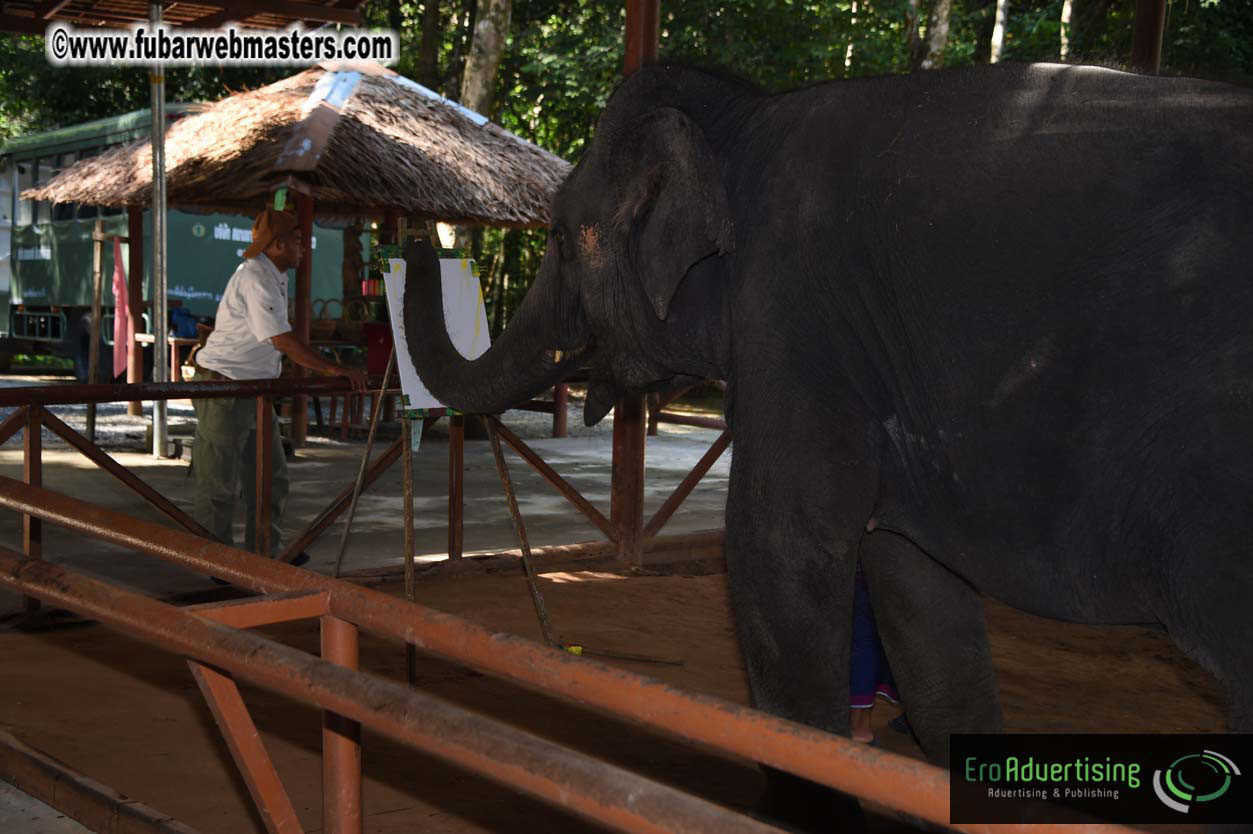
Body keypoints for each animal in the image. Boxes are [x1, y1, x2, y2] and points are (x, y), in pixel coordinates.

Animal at [404, 61, 1253, 827]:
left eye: (556, 233)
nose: (418, 234)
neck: (745, 117)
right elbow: (915, 586)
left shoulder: (796, 318)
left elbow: (778, 555)